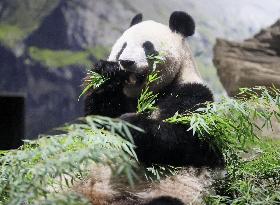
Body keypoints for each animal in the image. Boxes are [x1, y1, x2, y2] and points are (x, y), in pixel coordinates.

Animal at [80, 10, 224, 205]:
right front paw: (107, 71)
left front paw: (129, 124)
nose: (126, 62)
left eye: (147, 47)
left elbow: (189, 140)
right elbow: (97, 120)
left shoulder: (192, 94)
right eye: (123, 46)